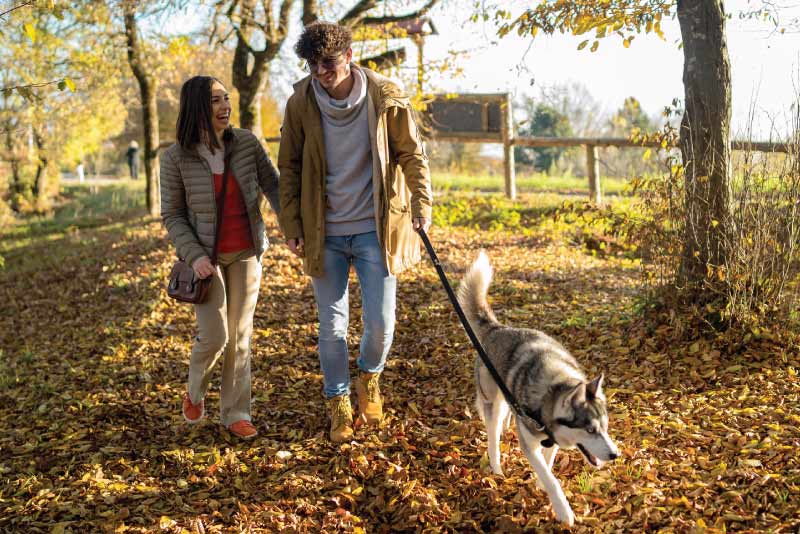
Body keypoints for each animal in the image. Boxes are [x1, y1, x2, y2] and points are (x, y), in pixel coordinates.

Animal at [456, 252, 620, 528]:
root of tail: (497, 328)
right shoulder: (530, 443)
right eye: (590, 430)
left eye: (605, 428)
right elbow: (549, 476)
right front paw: (562, 509)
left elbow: (548, 463)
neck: (554, 388)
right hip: (492, 402)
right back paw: (496, 466)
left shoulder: (552, 438)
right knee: (493, 437)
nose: (615, 455)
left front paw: (541, 483)